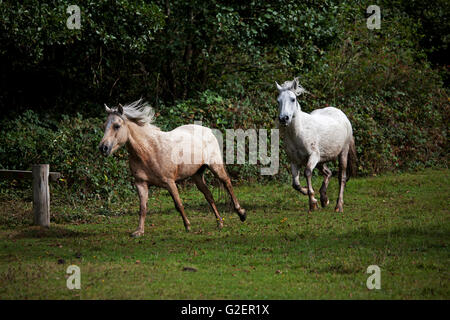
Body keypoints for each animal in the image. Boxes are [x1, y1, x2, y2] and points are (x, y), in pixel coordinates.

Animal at [98, 100, 246, 238]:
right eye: (104, 126)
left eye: (117, 126)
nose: (103, 148)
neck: (148, 150)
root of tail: (208, 130)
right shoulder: (141, 184)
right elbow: (143, 208)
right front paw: (139, 231)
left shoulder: (169, 182)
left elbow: (178, 204)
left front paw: (188, 226)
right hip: (197, 175)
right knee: (209, 196)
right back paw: (220, 222)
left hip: (215, 166)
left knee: (227, 183)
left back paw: (241, 214)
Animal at [276, 77, 356, 212]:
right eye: (278, 101)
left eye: (293, 99)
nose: (284, 118)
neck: (299, 132)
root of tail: (342, 115)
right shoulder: (294, 161)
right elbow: (295, 184)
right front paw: (312, 196)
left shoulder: (313, 156)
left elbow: (307, 172)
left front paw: (313, 203)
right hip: (321, 160)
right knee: (328, 173)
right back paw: (324, 199)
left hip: (342, 153)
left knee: (342, 178)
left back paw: (338, 206)